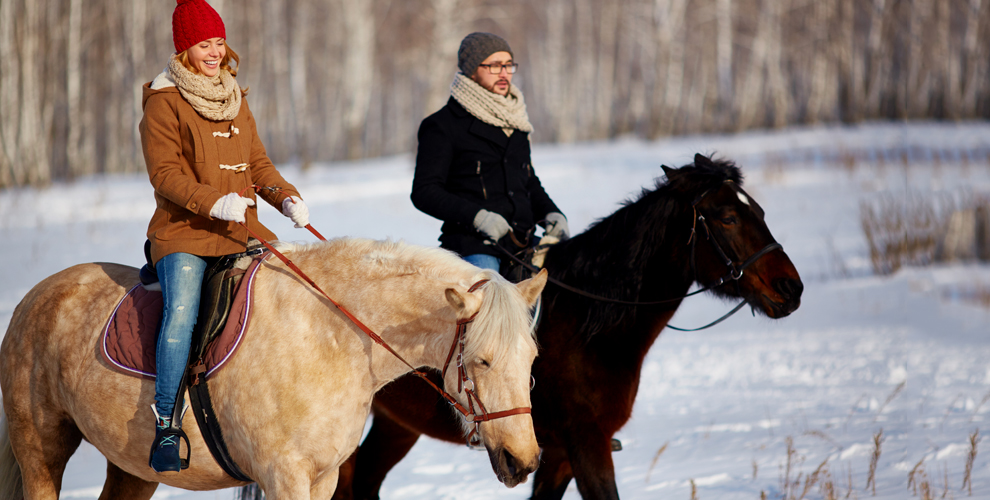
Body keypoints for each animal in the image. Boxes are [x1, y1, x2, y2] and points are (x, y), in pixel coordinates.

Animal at [0, 238, 548, 500]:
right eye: (482, 360)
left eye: (532, 361)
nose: (523, 460)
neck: (331, 334)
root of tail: (35, 297)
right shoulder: (283, 476)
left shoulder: (324, 476)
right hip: (40, 451)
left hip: (133, 469)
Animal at [334, 154, 808, 498]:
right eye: (727, 217)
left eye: (758, 210)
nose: (791, 288)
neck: (587, 325)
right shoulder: (587, 446)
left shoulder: (558, 455)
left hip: (397, 425)